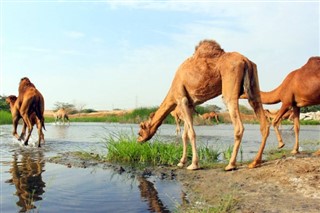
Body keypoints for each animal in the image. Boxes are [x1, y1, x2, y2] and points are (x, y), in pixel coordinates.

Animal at [138, 39, 270, 171]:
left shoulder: (182, 100)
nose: (138, 140)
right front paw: (181, 162)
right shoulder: (190, 105)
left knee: (238, 126)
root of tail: (245, 60)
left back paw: (231, 164)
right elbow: (185, 135)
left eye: (140, 132)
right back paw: (255, 162)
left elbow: (191, 134)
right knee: (263, 122)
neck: (172, 92)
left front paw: (193, 164)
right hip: (254, 85)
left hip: (229, 89)